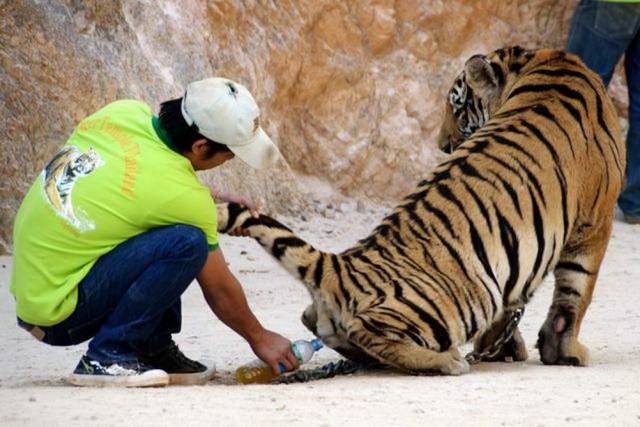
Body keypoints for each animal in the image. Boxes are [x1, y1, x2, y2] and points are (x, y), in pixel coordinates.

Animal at [218, 45, 624, 376]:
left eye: (456, 108)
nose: (443, 145)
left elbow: (521, 303)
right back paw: (447, 361)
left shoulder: (520, 254)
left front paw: (504, 349)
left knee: (321, 324)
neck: (539, 62)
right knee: (368, 330)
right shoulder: (593, 223)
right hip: (465, 300)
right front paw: (565, 352)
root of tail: (339, 265)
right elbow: (575, 292)